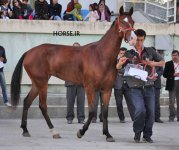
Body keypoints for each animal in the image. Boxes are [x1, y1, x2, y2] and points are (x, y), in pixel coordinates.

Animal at [10, 6, 134, 142]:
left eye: (132, 22)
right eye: (122, 21)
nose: (132, 38)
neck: (101, 55)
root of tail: (28, 52)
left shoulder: (106, 89)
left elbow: (105, 112)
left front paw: (108, 134)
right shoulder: (90, 88)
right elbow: (91, 111)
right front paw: (81, 132)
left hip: (37, 83)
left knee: (27, 102)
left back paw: (25, 130)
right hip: (42, 83)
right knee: (42, 106)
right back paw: (54, 132)